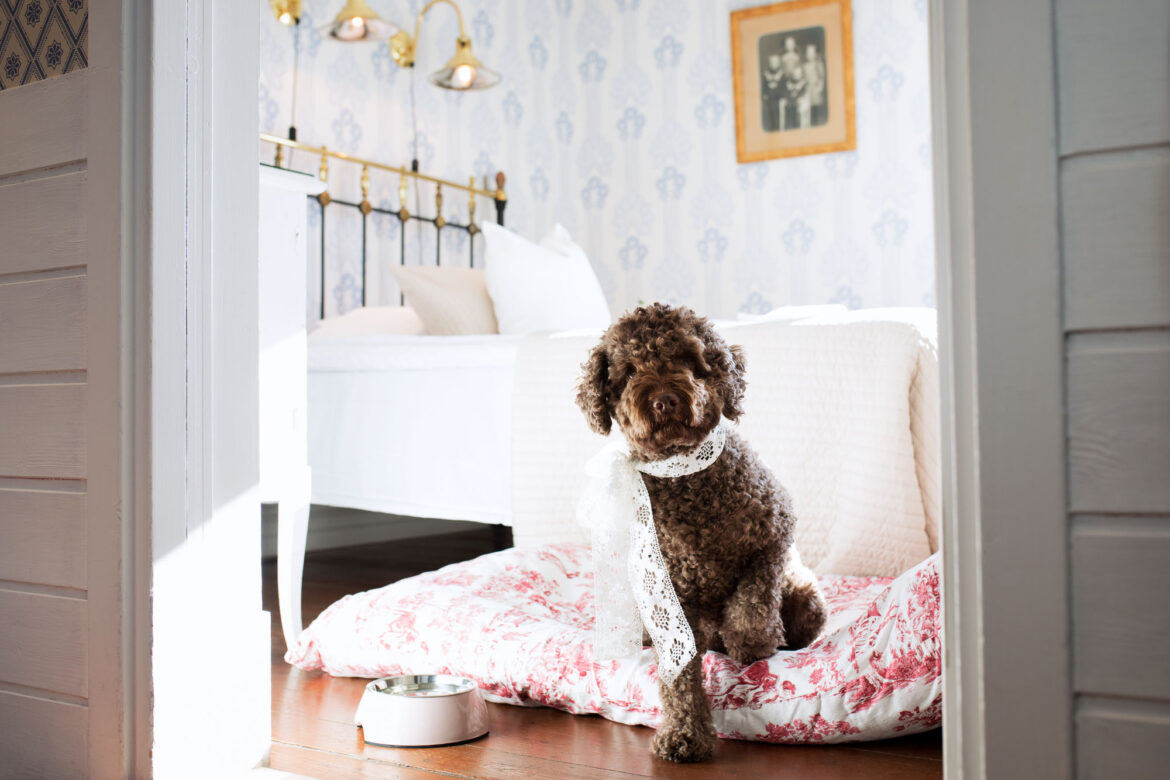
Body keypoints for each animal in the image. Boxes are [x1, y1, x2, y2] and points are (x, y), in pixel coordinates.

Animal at [575, 303, 827, 763]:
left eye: (688, 359)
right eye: (629, 371)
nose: (664, 400)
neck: (685, 476)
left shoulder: (775, 532)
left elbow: (753, 598)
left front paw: (751, 641)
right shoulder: (672, 601)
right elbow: (678, 675)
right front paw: (684, 734)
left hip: (806, 598)